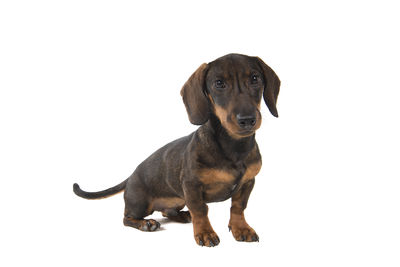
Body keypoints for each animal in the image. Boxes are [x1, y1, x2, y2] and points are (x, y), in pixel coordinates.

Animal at [74, 53, 282, 248]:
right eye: (219, 83)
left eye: (255, 78)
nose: (247, 119)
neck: (234, 148)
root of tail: (131, 175)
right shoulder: (191, 185)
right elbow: (200, 210)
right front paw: (205, 233)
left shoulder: (247, 183)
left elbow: (238, 207)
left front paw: (241, 228)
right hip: (140, 203)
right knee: (126, 218)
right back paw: (146, 224)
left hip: (177, 199)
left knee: (167, 211)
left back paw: (182, 216)